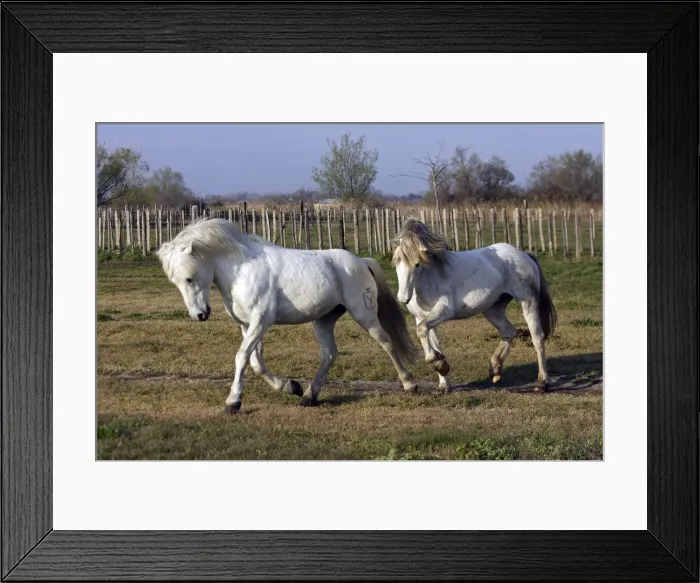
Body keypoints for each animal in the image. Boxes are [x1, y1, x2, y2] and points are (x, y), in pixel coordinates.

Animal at [156, 218, 420, 413]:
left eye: (189, 277)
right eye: (176, 281)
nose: (199, 314)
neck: (241, 270)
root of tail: (361, 262)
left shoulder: (261, 320)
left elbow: (242, 357)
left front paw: (233, 402)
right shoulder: (248, 325)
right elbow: (255, 363)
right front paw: (290, 386)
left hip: (364, 315)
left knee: (386, 343)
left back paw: (410, 384)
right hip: (324, 320)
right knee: (330, 353)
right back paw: (309, 396)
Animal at [390, 218, 557, 393]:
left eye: (417, 264)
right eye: (397, 262)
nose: (403, 298)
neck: (429, 277)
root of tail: (525, 255)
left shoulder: (444, 310)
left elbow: (422, 331)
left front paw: (440, 365)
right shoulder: (421, 317)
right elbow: (431, 340)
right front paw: (443, 382)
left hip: (528, 302)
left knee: (537, 338)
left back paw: (541, 383)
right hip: (493, 310)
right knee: (509, 331)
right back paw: (495, 369)